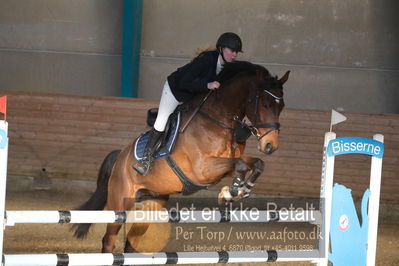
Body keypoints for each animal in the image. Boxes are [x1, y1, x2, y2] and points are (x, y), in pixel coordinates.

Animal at [72, 60, 290, 254]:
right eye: (264, 104)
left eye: (281, 107)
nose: (270, 145)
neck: (219, 119)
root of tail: (120, 157)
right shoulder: (203, 169)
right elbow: (241, 166)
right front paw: (231, 192)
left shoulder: (227, 163)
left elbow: (256, 164)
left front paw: (242, 189)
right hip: (121, 202)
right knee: (109, 240)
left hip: (152, 202)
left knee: (131, 243)